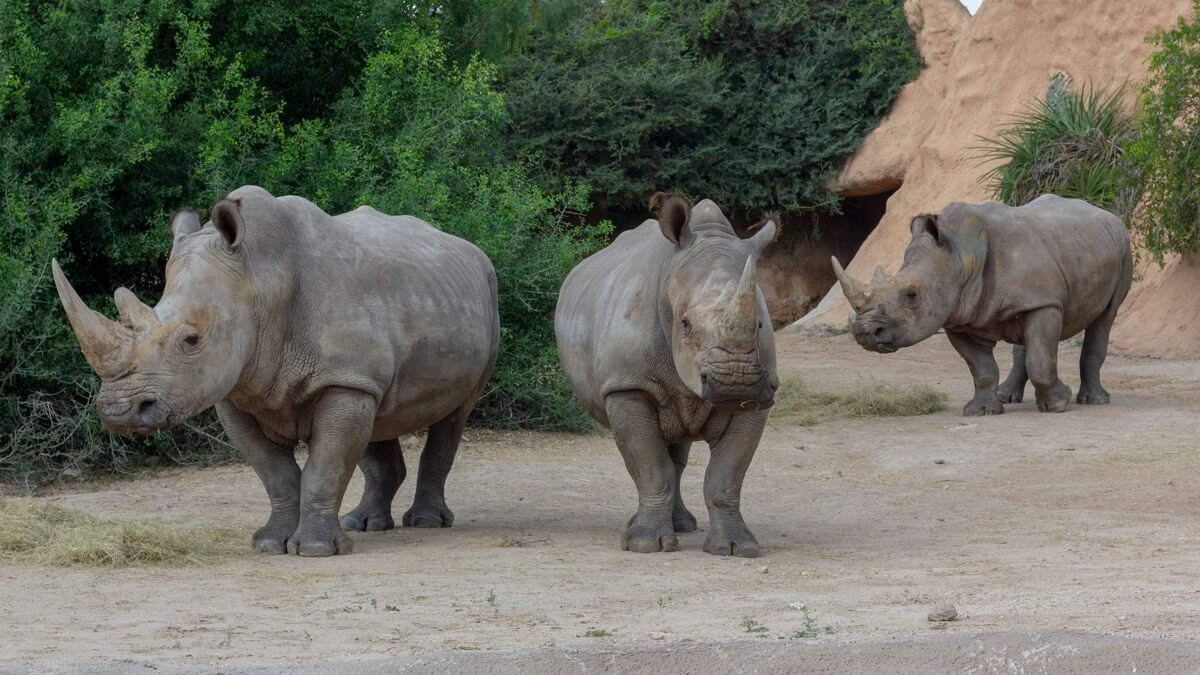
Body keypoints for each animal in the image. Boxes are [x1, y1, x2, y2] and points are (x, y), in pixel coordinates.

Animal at [55, 186, 496, 554]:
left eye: (192, 340)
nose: (119, 412)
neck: (258, 280)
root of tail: (469, 248)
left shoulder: (340, 379)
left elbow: (325, 466)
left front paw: (316, 551)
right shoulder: (237, 389)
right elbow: (276, 472)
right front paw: (269, 544)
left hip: (485, 295)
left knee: (455, 413)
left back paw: (426, 522)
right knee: (380, 413)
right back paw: (364, 524)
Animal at [554, 192, 777, 554]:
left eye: (759, 324)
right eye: (684, 324)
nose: (734, 384)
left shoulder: (761, 394)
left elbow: (727, 475)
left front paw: (736, 548)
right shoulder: (628, 386)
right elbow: (649, 464)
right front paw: (645, 545)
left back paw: (683, 526)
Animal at [835, 193, 1132, 415]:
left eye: (911, 295)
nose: (864, 333)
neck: (960, 255)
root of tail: (1106, 213)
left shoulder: (1044, 304)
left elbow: (1041, 360)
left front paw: (1059, 404)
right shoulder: (957, 315)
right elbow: (981, 367)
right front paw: (982, 411)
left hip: (1123, 248)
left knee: (1104, 319)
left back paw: (1094, 400)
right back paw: (1006, 396)